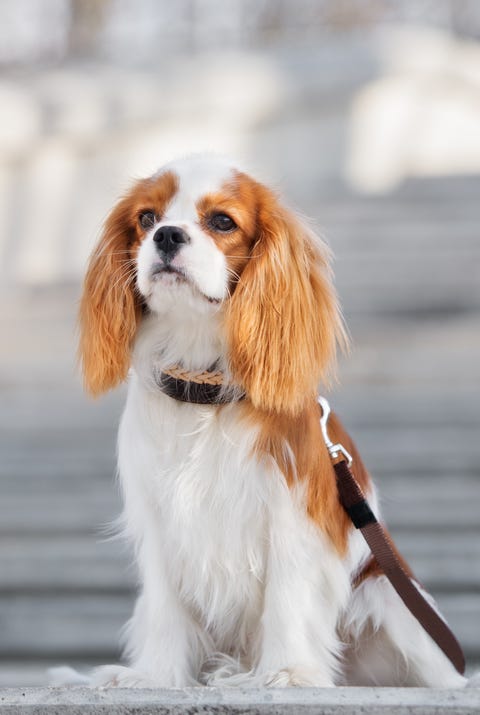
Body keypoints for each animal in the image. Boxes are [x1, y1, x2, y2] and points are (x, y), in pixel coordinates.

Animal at [77, 155, 470, 688]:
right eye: (146, 219)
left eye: (222, 222)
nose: (167, 235)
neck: (203, 386)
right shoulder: (159, 521)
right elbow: (164, 605)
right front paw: (156, 676)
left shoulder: (294, 516)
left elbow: (288, 596)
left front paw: (288, 672)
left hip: (390, 599)